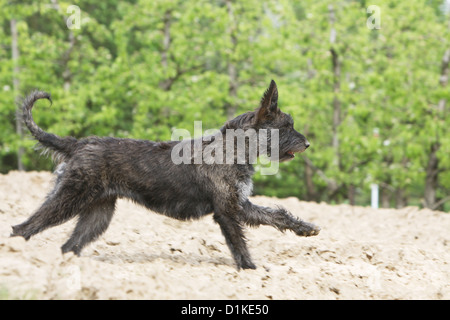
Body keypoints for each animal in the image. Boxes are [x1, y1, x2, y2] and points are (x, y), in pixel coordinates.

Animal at [10, 80, 320, 270]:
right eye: (287, 126)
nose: (307, 144)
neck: (232, 149)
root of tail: (77, 144)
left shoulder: (240, 205)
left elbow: (276, 215)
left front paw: (305, 228)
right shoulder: (227, 212)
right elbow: (239, 244)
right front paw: (250, 270)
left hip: (97, 214)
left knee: (68, 245)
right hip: (69, 198)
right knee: (23, 228)